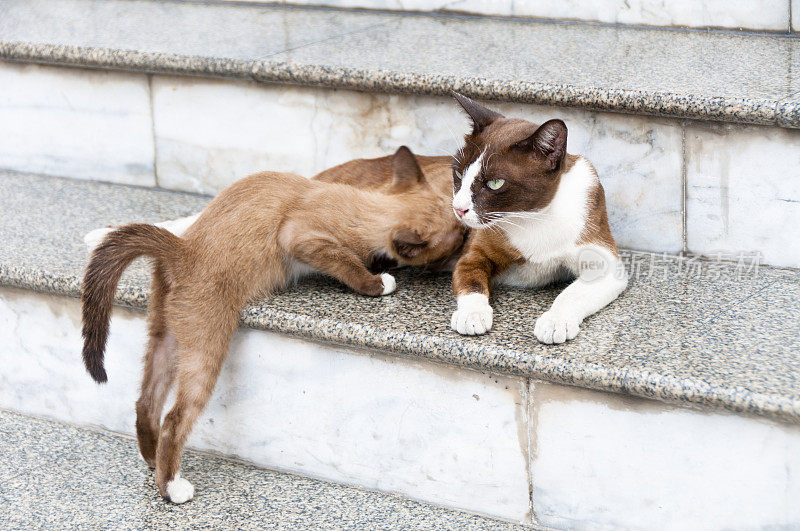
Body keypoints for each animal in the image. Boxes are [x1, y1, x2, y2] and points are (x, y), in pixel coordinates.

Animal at [80, 148, 462, 504]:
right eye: (457, 239)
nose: (466, 235)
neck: (363, 204)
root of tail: (182, 246)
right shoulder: (299, 237)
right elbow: (348, 265)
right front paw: (380, 282)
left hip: (166, 335)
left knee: (146, 401)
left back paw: (151, 459)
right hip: (207, 344)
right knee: (175, 418)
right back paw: (173, 488)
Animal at [450, 94, 624, 344]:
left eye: (494, 183)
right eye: (458, 174)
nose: (458, 208)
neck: (533, 217)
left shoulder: (603, 262)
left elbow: (571, 294)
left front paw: (555, 322)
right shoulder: (475, 253)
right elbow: (470, 281)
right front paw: (472, 316)